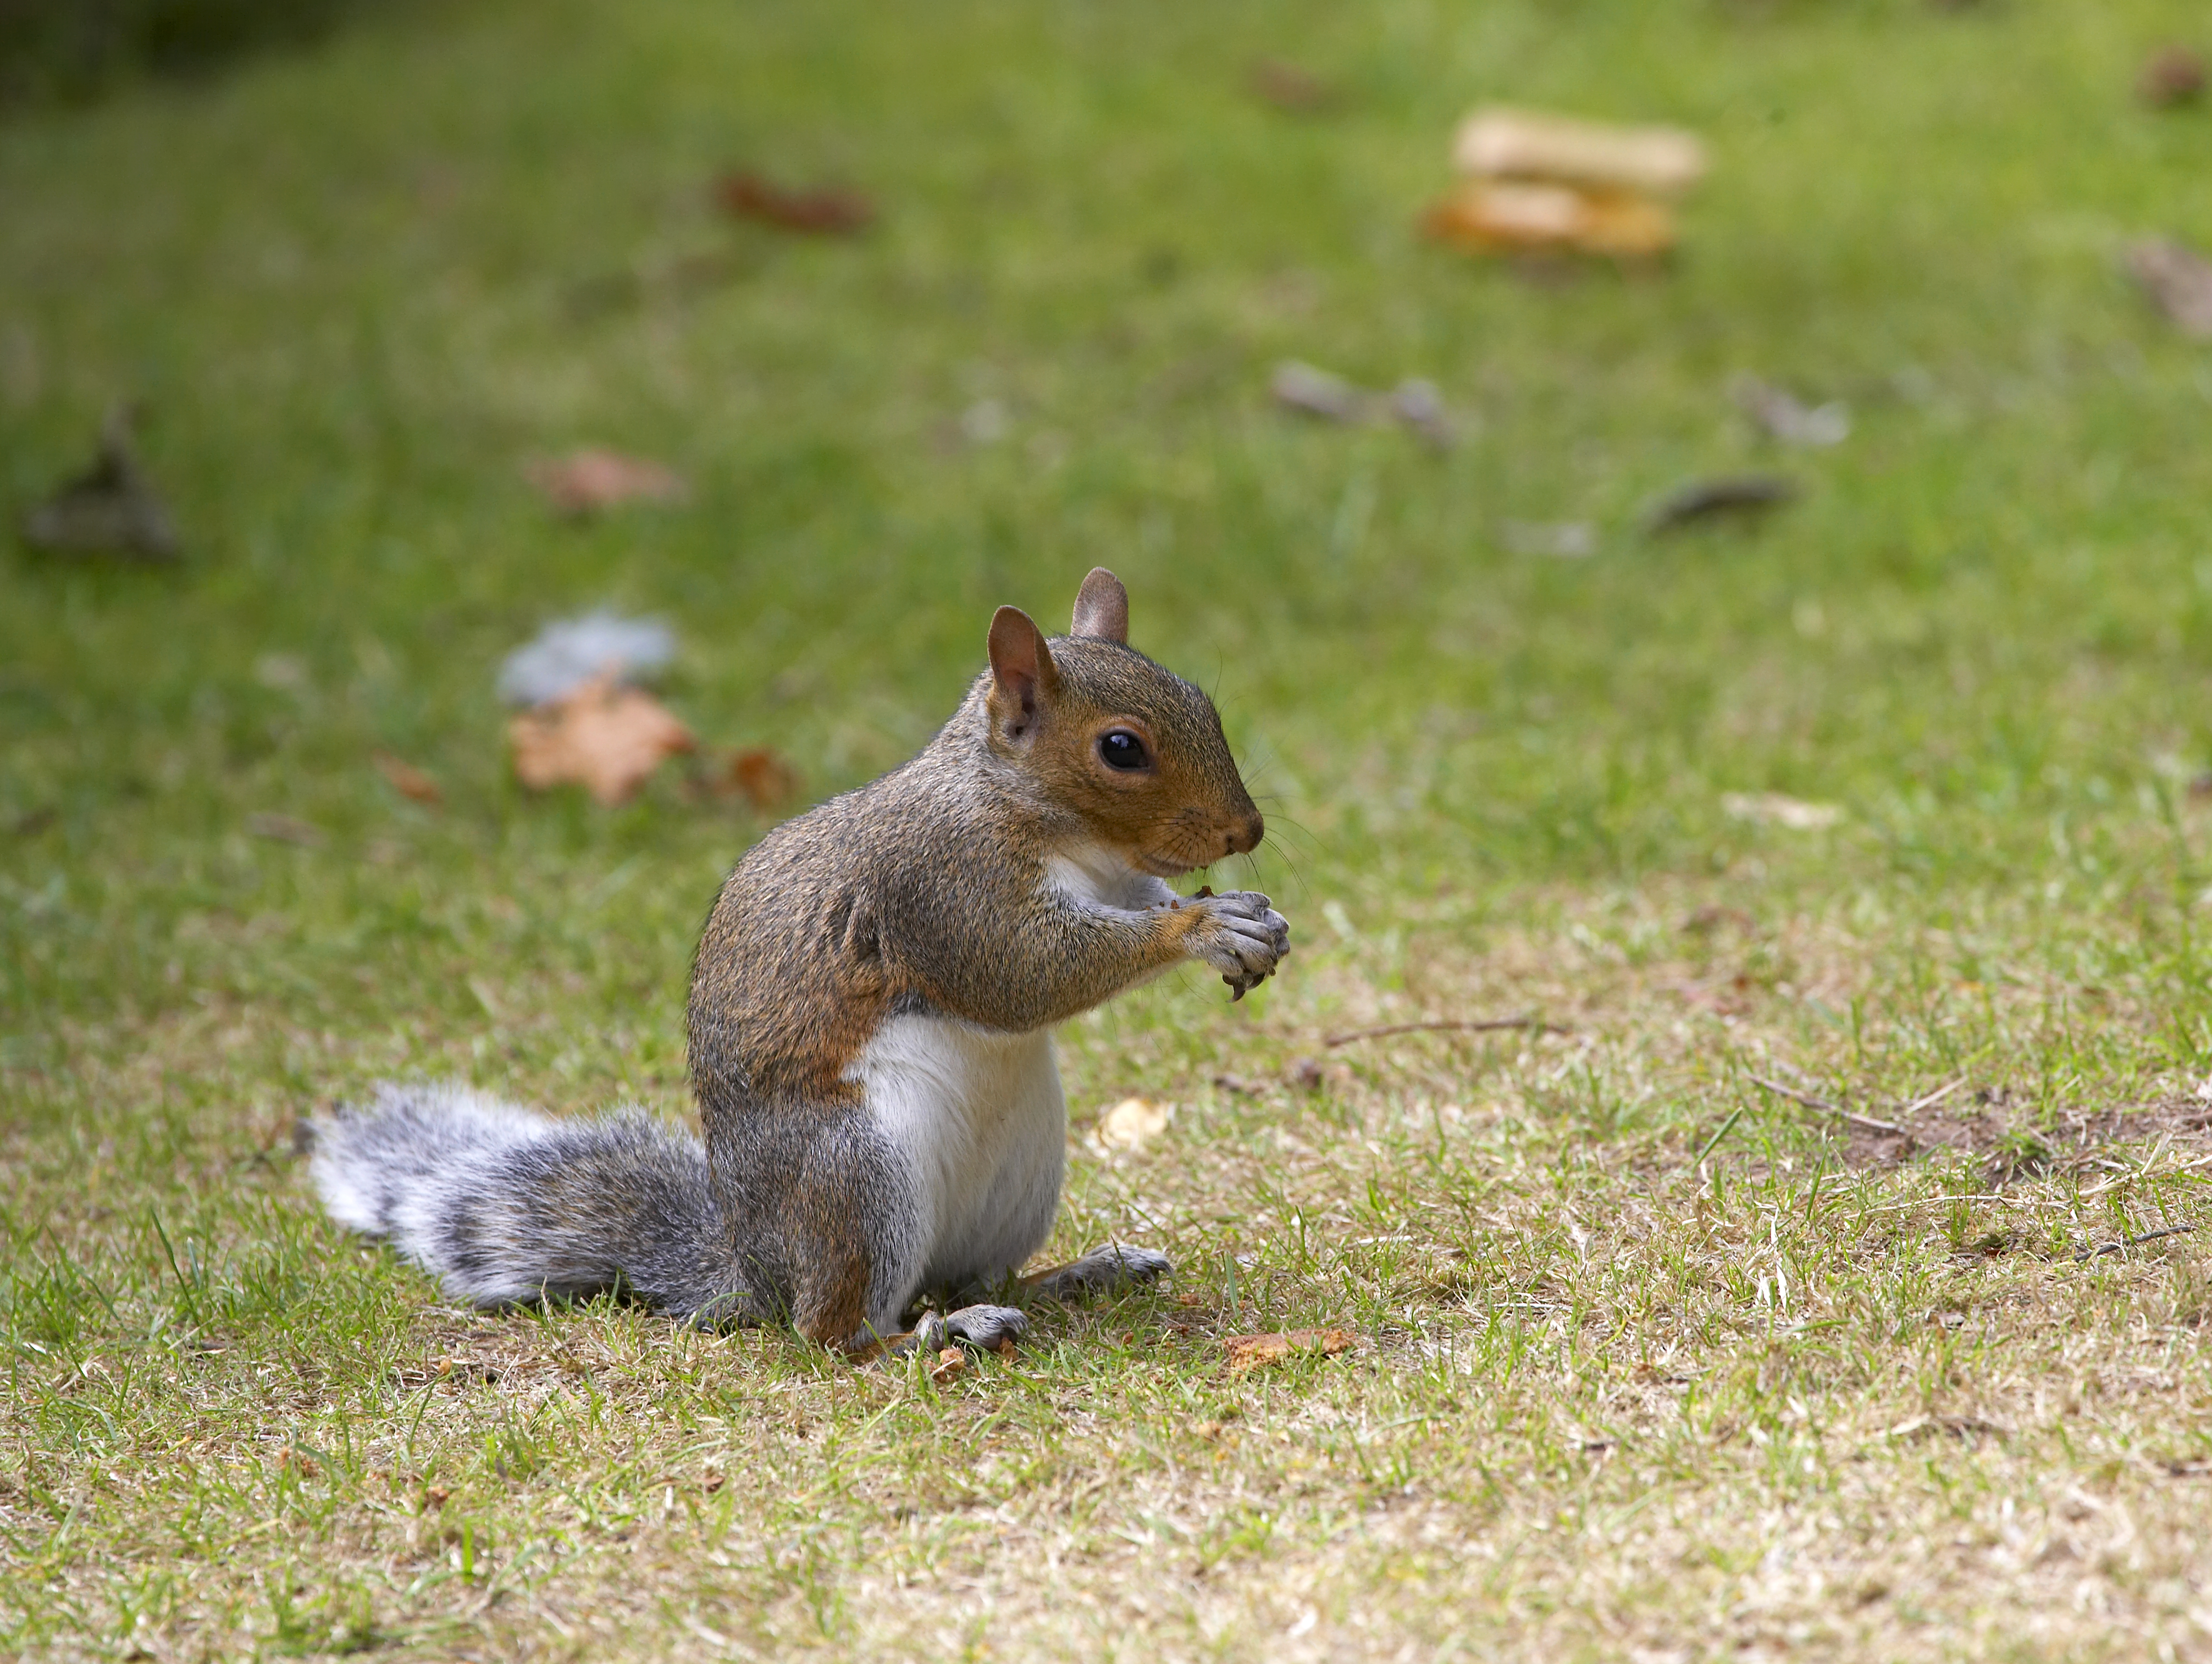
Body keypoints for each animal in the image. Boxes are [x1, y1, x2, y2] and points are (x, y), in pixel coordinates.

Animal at [303, 571, 1292, 1354]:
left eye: (1201, 702)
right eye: (1121, 748)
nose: (1247, 832)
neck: (1045, 822)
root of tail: (754, 1269)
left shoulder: (1109, 880)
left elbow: (1135, 906)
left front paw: (1246, 918)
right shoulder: (944, 886)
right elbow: (1024, 972)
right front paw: (1200, 931)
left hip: (1019, 1178)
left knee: (976, 1275)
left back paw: (1076, 1275)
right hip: (855, 1177)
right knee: (835, 1329)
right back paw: (934, 1334)